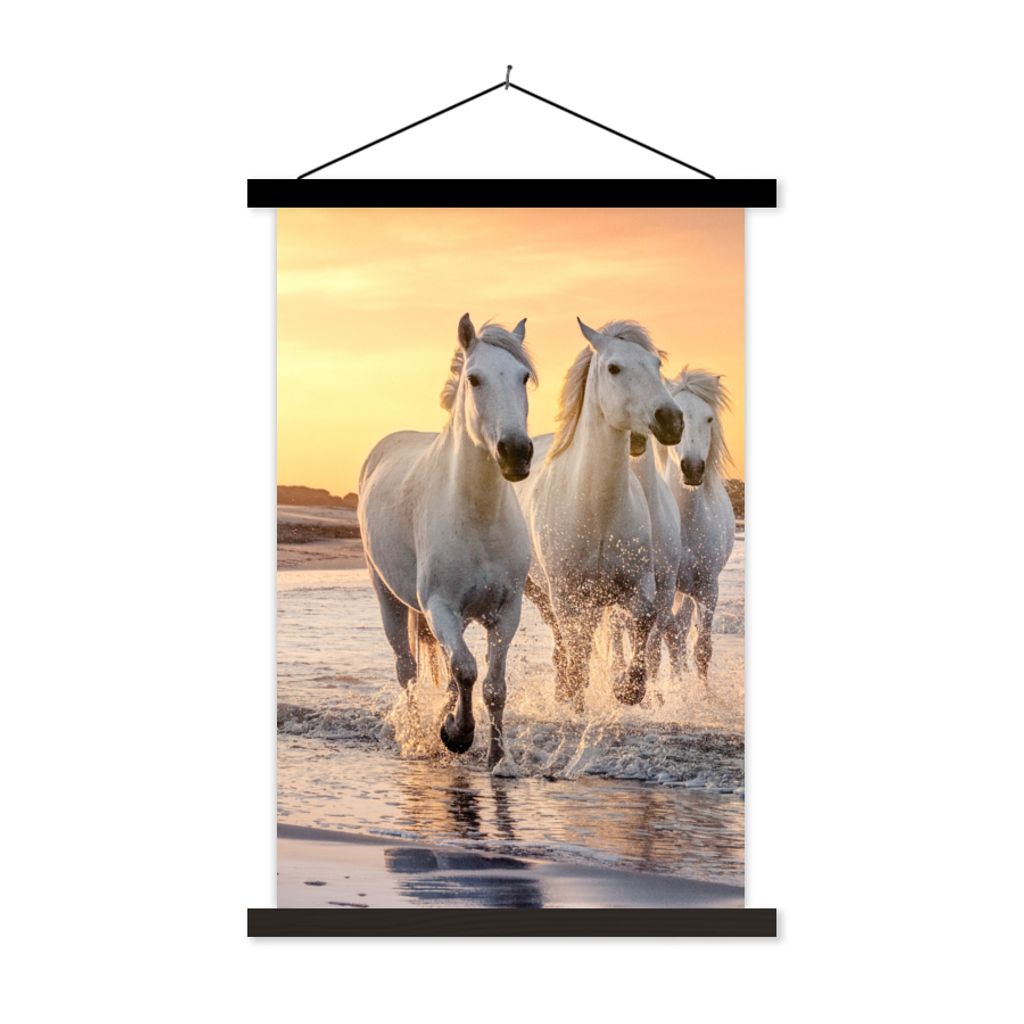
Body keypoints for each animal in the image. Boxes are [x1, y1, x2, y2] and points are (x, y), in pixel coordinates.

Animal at [358, 314, 536, 766]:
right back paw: (420, 736)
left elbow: (492, 685)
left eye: (524, 377)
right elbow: (467, 670)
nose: (516, 452)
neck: (478, 517)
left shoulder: (506, 611)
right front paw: (457, 734)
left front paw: (497, 757)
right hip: (388, 598)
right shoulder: (439, 607)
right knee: (407, 670)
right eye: (474, 378)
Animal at [514, 318, 683, 710]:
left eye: (657, 365)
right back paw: (564, 692)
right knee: (564, 641)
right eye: (614, 368)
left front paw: (628, 689)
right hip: (540, 591)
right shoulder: (567, 595)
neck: (598, 511)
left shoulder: (639, 586)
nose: (671, 420)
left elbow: (643, 626)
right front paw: (576, 698)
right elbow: (577, 650)